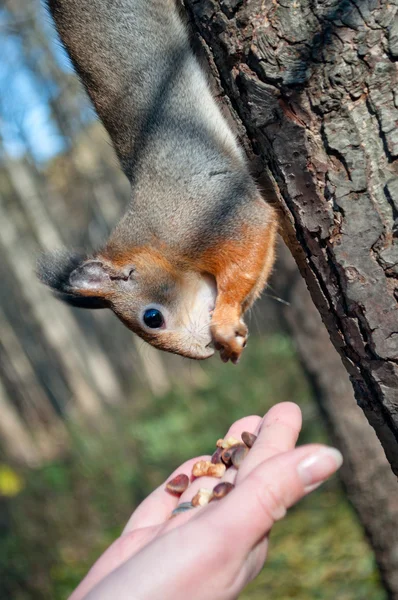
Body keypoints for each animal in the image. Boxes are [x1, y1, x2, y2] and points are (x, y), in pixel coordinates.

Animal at [38, 0, 278, 364]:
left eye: (152, 318)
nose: (202, 352)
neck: (156, 242)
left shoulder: (212, 211)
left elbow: (251, 241)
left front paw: (223, 322)